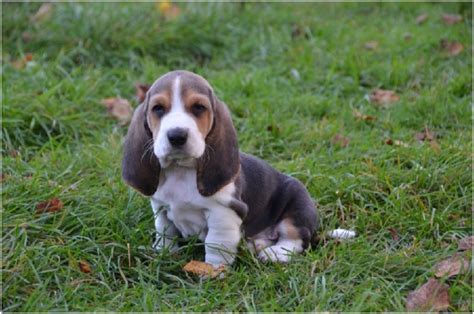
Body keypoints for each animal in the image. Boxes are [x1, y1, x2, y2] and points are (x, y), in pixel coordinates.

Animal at [123, 70, 318, 266]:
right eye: (158, 108)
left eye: (199, 107)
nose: (177, 136)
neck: (181, 171)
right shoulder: (161, 208)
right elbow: (165, 234)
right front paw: (163, 254)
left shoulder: (223, 213)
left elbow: (215, 245)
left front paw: (213, 269)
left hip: (298, 202)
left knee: (296, 238)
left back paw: (276, 253)